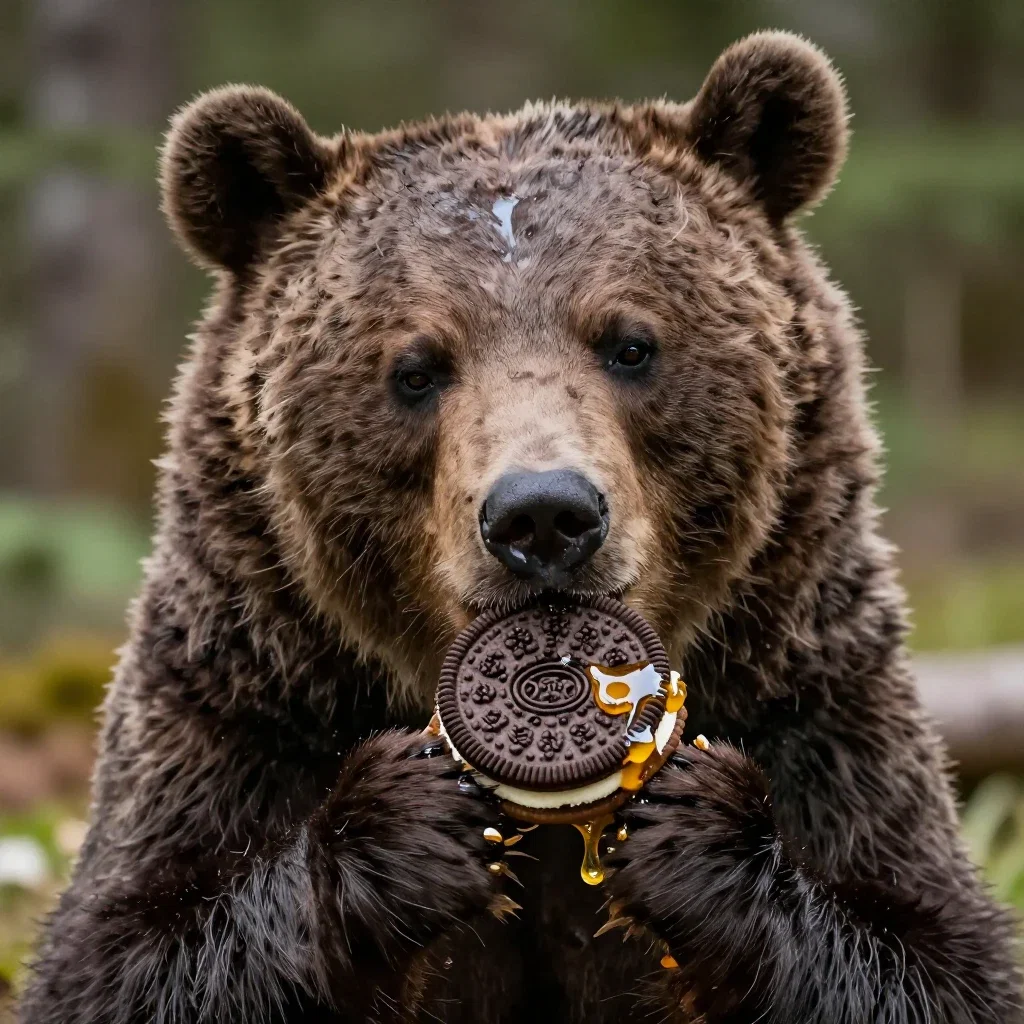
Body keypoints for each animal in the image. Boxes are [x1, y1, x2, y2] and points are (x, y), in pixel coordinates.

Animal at [19, 29, 1022, 1024]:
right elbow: (124, 955)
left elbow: (932, 955)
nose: (543, 515)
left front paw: (700, 835)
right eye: (416, 367)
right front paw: (400, 824)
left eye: (630, 343)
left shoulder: (811, 694)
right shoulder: (249, 696)